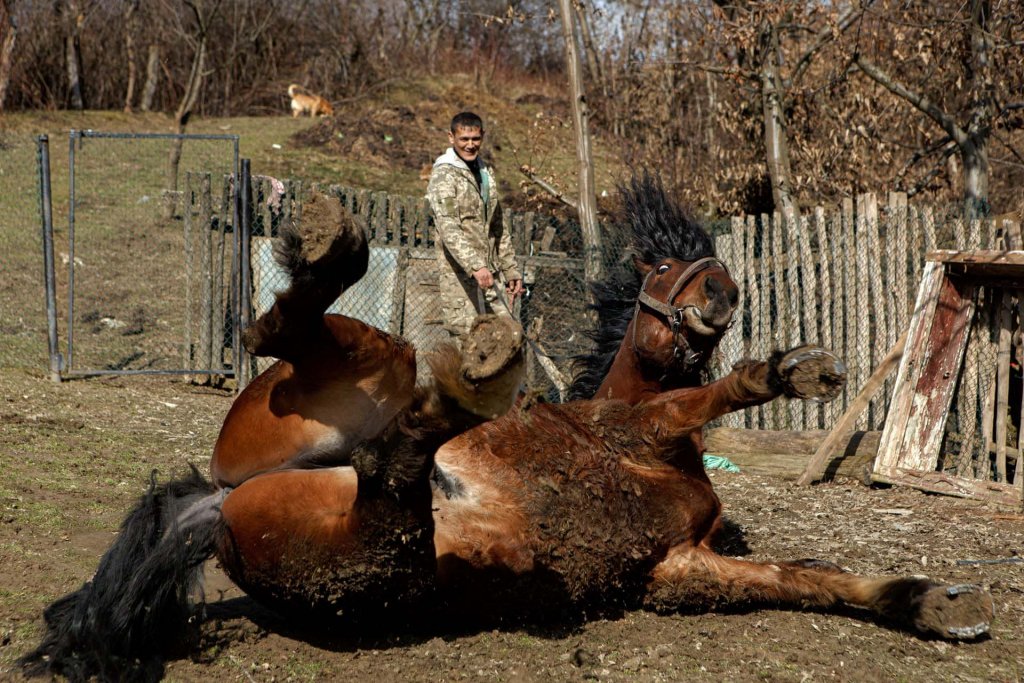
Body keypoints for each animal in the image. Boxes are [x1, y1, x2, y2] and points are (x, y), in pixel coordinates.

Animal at [22, 181, 991, 683]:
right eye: (662, 261)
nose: (721, 293)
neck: (661, 461)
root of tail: (216, 502)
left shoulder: (682, 567)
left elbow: (806, 577)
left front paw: (934, 604)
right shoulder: (627, 426)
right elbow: (701, 399)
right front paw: (795, 369)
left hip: (365, 535)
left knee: (386, 462)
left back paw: (461, 373)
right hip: (362, 425)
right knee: (298, 349)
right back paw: (389, 296)